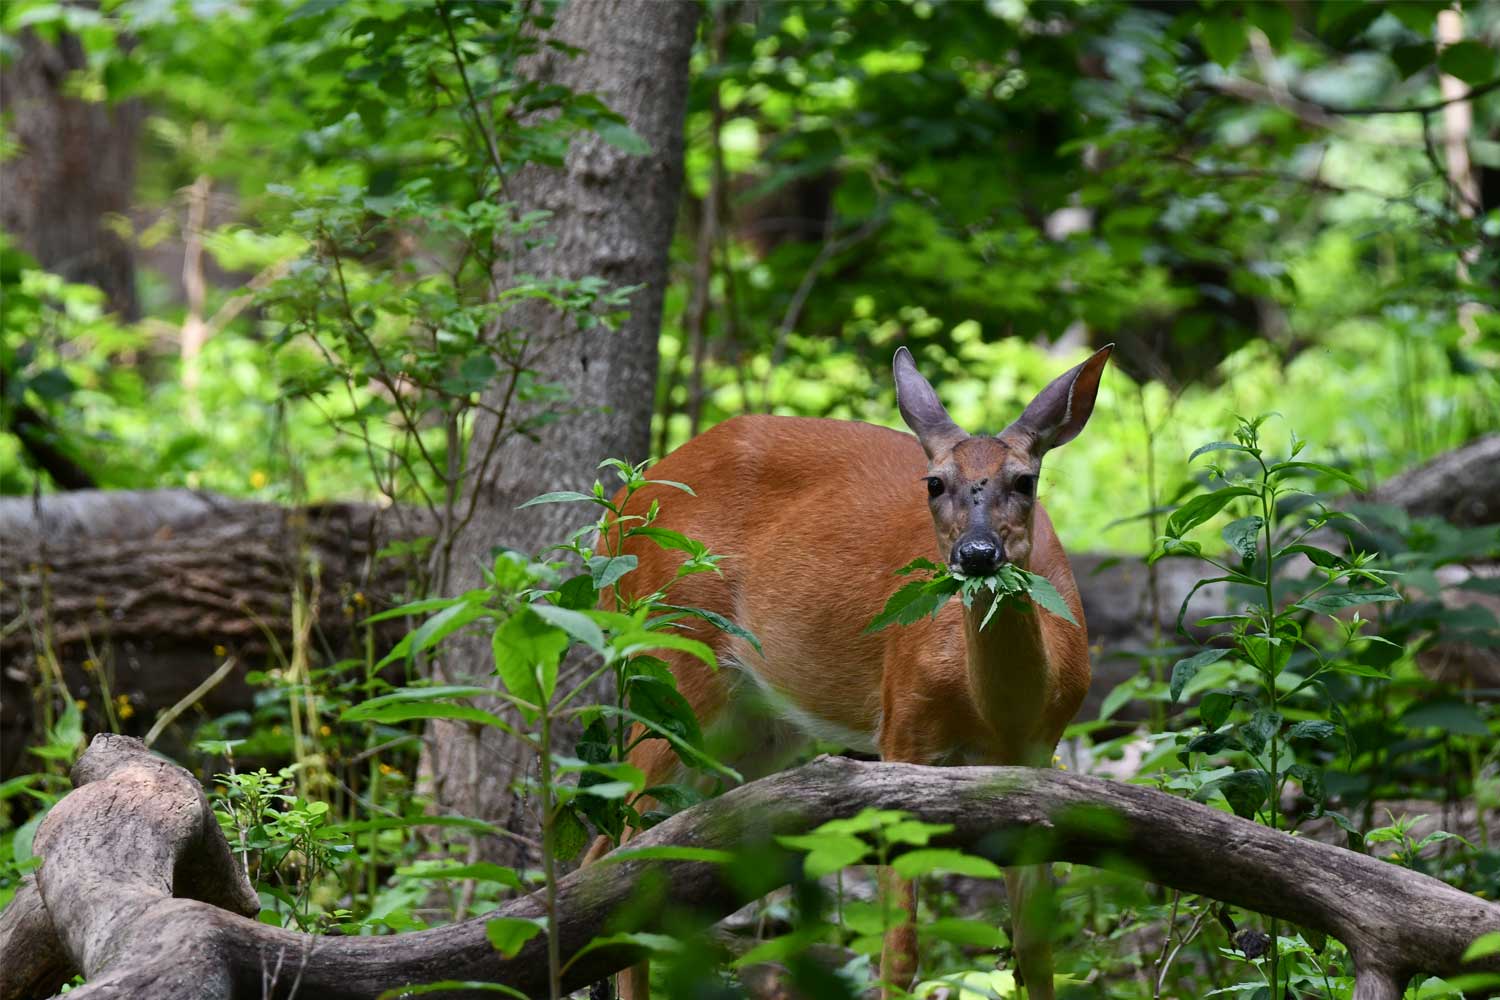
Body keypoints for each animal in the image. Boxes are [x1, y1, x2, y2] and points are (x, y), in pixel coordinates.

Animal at [585, 340, 1116, 995]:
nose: (976, 553)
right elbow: (900, 953)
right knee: (628, 841)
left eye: (1026, 480)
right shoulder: (903, 729)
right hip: (673, 660)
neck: (997, 713)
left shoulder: (1034, 767)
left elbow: (1037, 954)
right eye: (934, 482)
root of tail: (616, 513)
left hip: (756, 726)